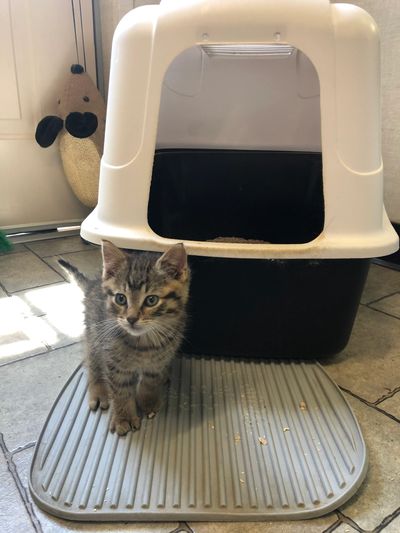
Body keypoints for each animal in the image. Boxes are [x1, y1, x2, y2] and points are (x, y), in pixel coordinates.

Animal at [59, 239, 191, 434]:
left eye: (151, 300)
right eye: (120, 298)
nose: (131, 318)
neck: (144, 344)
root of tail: (93, 284)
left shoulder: (157, 363)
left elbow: (150, 382)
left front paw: (148, 402)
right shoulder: (114, 362)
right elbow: (120, 391)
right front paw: (124, 417)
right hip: (94, 333)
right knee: (92, 361)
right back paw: (98, 389)